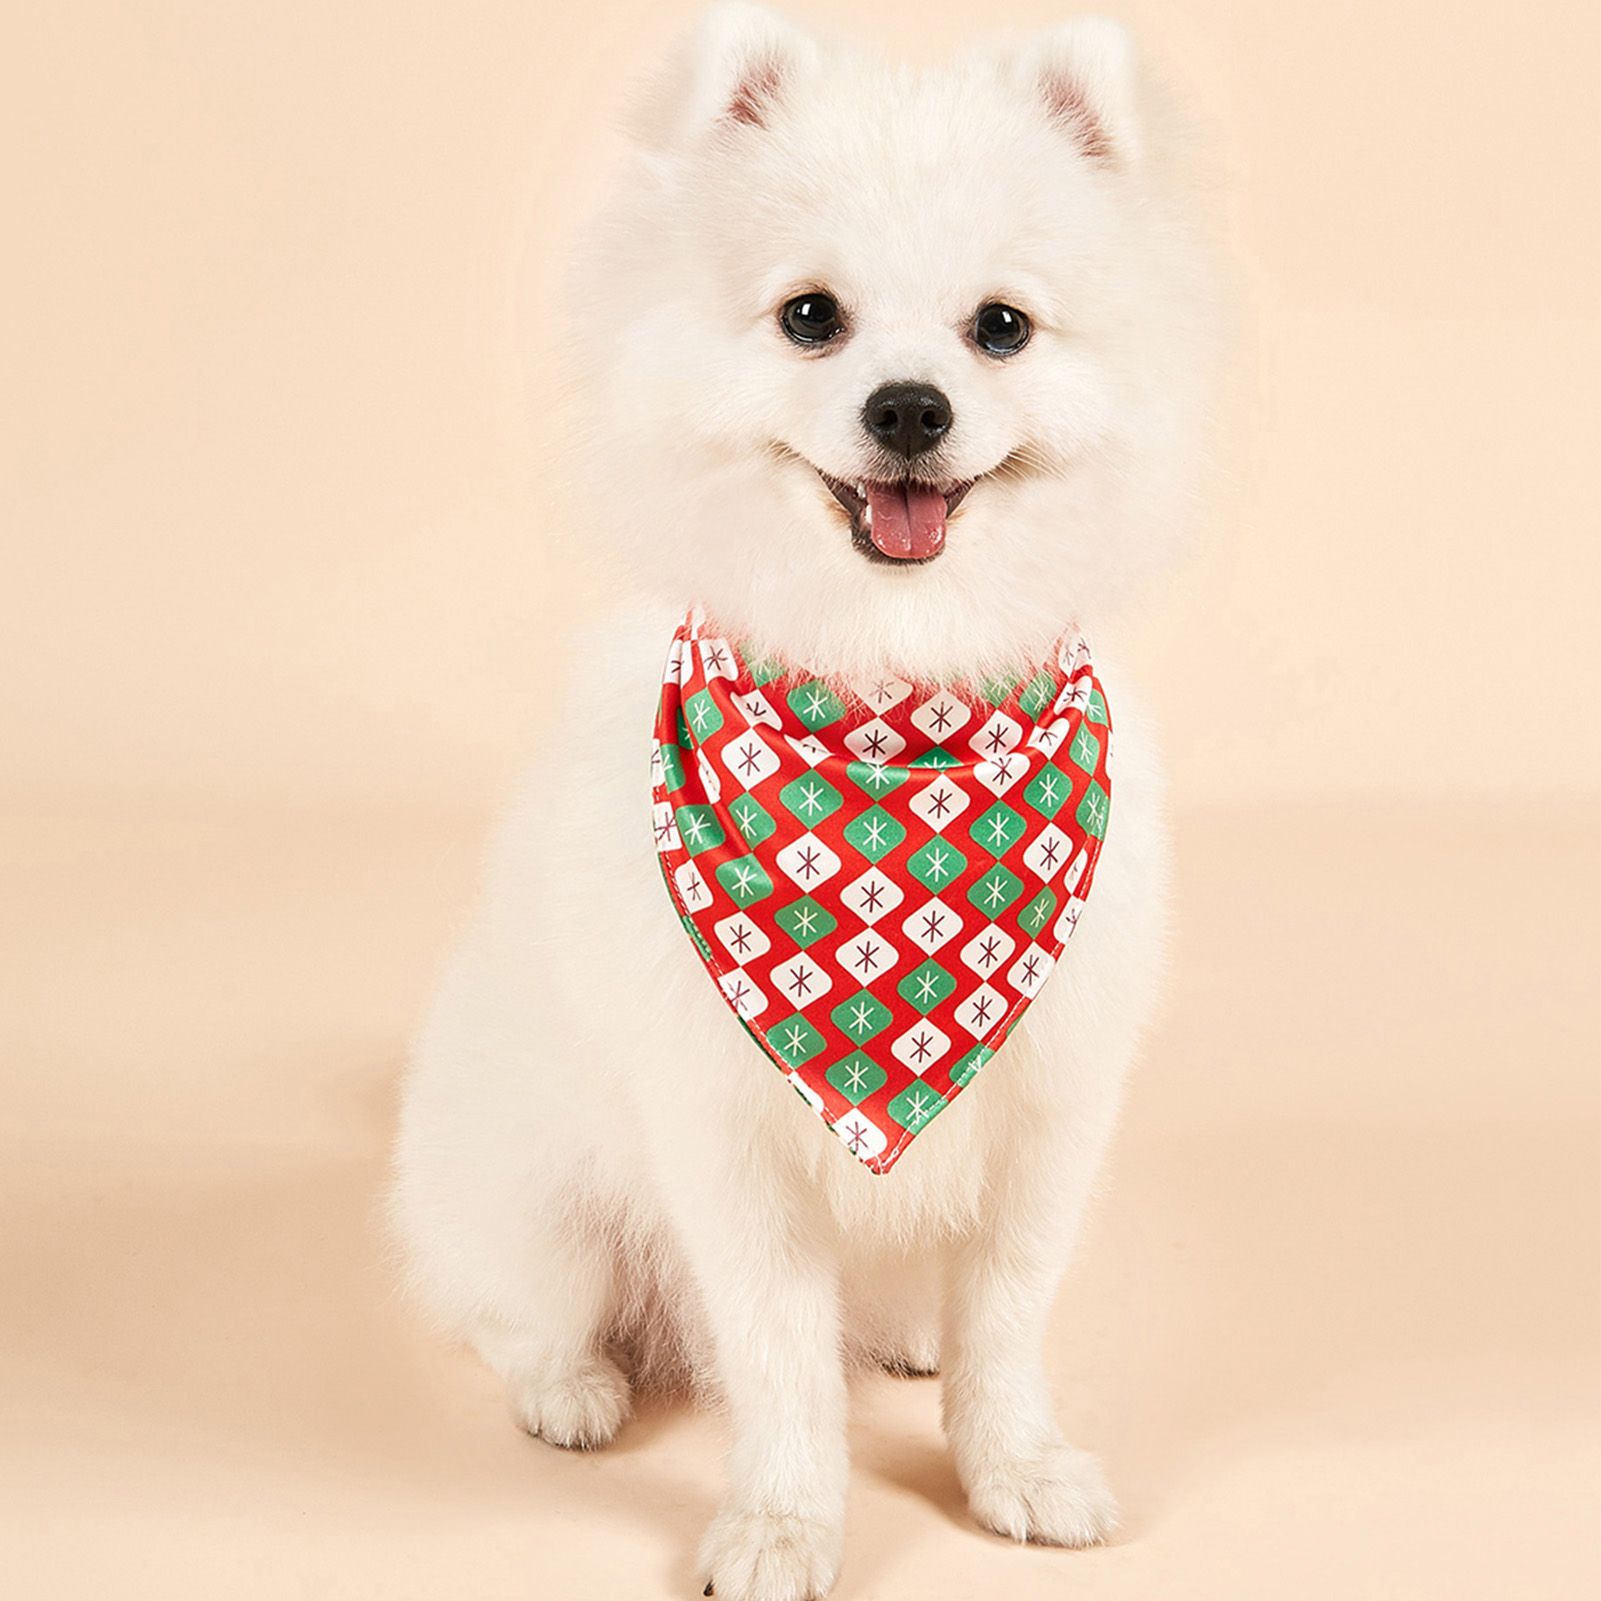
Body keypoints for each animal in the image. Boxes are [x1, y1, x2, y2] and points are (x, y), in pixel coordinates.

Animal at [390, 6, 1210, 1594]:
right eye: (809, 317)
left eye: (1000, 326)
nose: (908, 406)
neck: (899, 711)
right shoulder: (725, 1135)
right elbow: (773, 1355)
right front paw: (781, 1518)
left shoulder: (1049, 1106)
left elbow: (1005, 1316)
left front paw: (1010, 1459)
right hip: (540, 1190)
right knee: (505, 1303)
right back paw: (568, 1384)